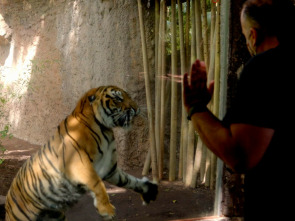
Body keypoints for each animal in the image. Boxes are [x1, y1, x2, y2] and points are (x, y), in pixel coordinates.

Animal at [4, 85, 158, 220]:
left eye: (129, 96)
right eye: (118, 99)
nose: (136, 108)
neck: (105, 129)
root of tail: (7, 202)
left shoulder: (110, 169)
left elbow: (129, 180)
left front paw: (148, 189)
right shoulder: (78, 164)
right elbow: (98, 185)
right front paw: (106, 210)